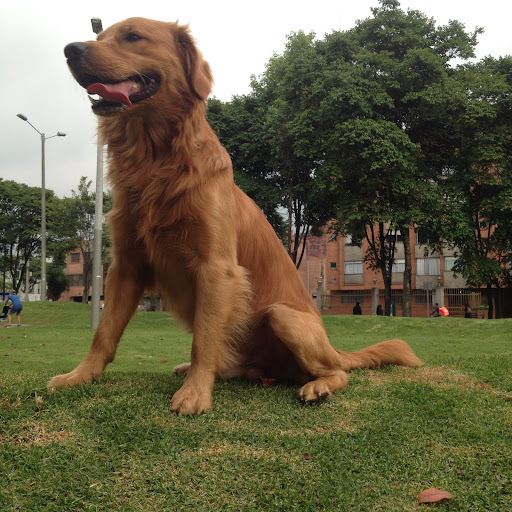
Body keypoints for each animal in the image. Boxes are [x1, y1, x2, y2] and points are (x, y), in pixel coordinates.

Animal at [48, 18, 423, 415]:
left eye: (133, 36)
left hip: (283, 316)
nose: (71, 50)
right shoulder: (126, 266)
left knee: (337, 371)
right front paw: (80, 375)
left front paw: (194, 394)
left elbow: (204, 338)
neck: (156, 161)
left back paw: (318, 386)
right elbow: (103, 333)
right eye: (101, 35)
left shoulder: (216, 267)